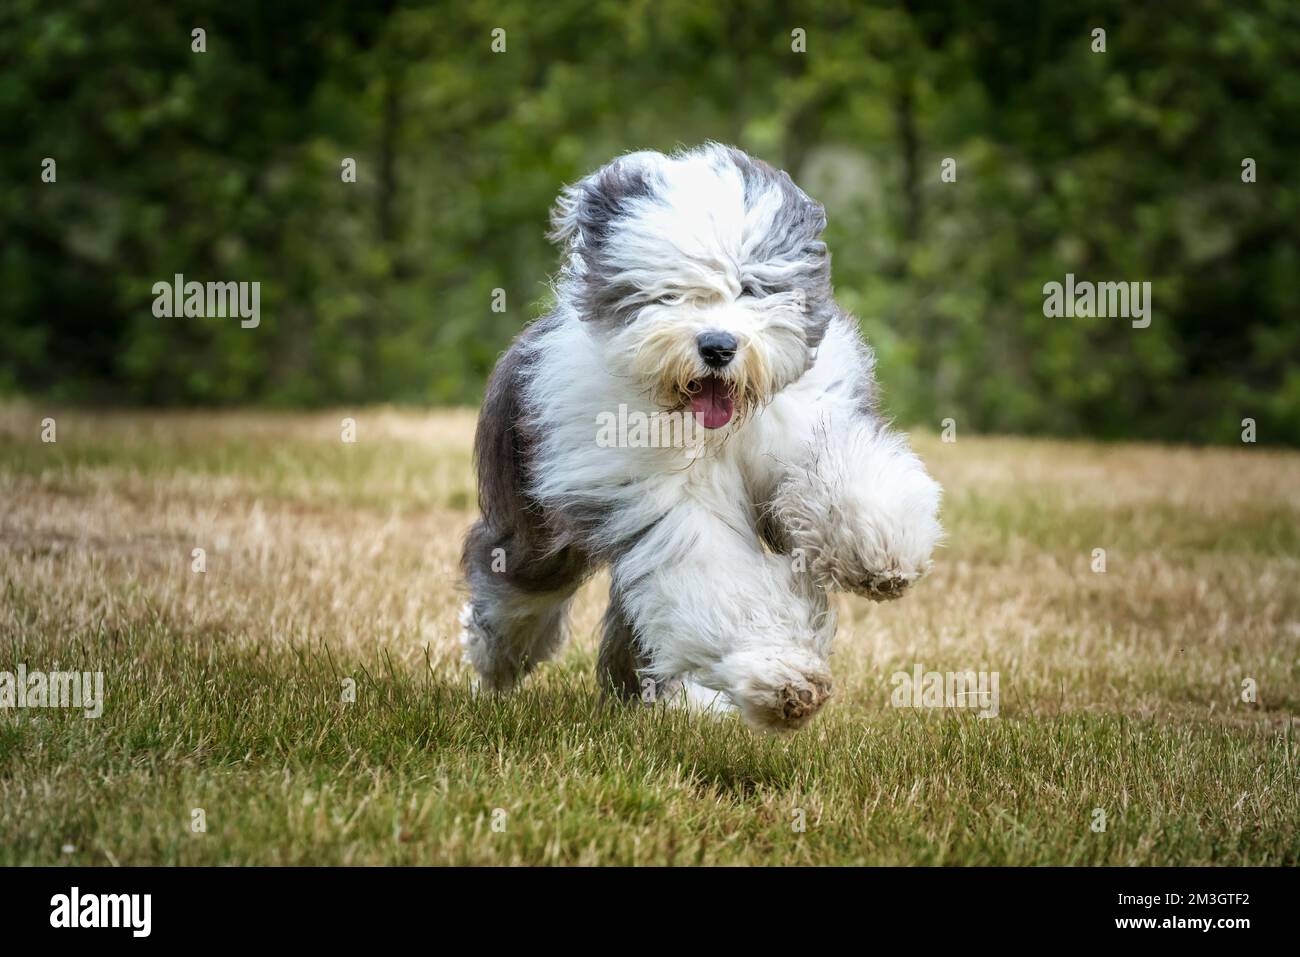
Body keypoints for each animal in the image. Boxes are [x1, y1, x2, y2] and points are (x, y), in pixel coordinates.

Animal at [462, 141, 941, 728]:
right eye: (669, 295)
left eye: (750, 287)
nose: (717, 346)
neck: (718, 433)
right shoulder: (658, 501)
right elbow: (714, 571)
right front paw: (783, 677)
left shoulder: (809, 422)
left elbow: (842, 473)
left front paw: (881, 551)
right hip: (533, 511)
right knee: (522, 579)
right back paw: (498, 659)